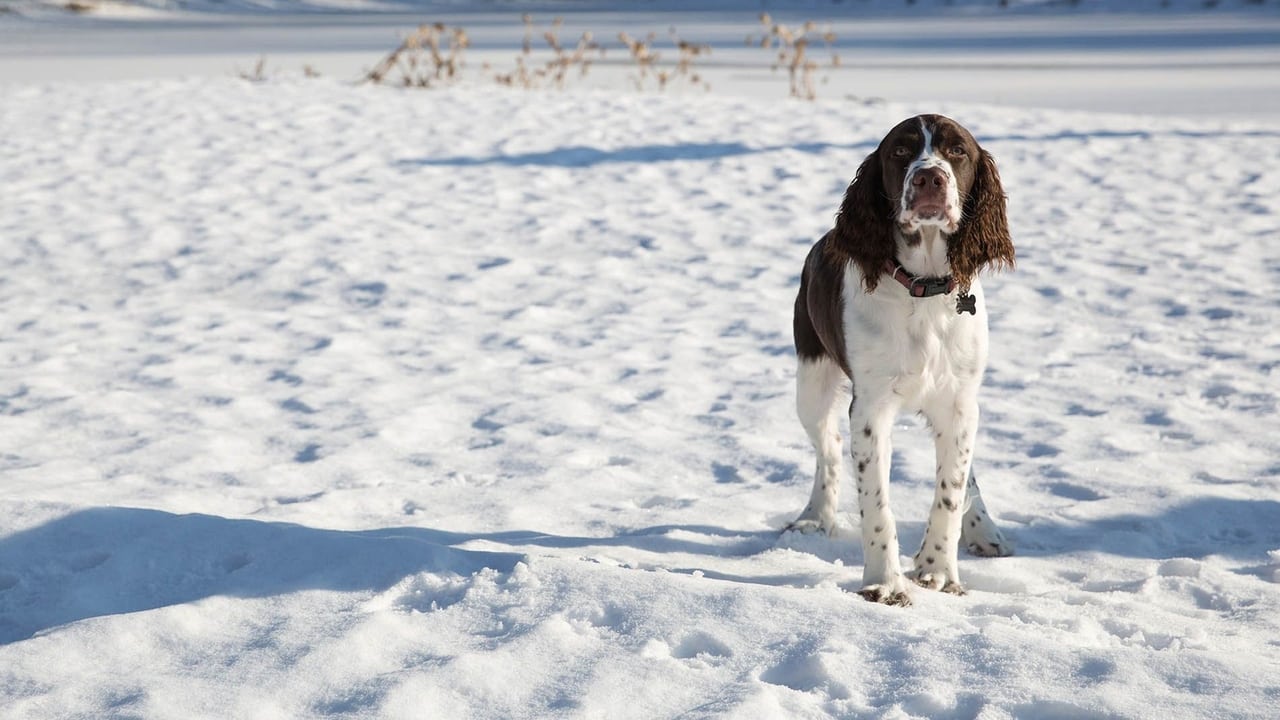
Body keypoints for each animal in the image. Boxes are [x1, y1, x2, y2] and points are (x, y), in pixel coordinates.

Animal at [783, 113, 1013, 604]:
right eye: (901, 152)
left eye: (957, 150)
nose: (930, 178)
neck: (923, 289)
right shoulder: (870, 408)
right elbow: (876, 502)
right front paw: (883, 583)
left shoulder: (959, 403)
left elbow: (951, 490)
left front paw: (938, 570)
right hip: (811, 380)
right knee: (827, 448)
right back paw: (815, 516)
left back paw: (983, 530)